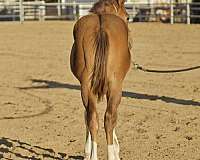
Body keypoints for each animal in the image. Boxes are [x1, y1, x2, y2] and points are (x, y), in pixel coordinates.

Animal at [70, 0, 131, 159]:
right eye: (128, 17)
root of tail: (101, 27)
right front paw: (116, 149)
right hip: (115, 87)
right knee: (109, 118)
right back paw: (112, 155)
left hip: (87, 87)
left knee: (92, 118)